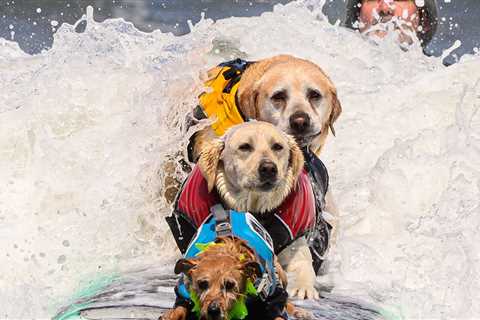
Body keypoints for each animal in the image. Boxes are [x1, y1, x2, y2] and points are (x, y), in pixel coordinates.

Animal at [161, 238, 312, 320]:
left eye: (229, 285)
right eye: (202, 284)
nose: (213, 310)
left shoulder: (272, 294)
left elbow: (278, 310)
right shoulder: (185, 294)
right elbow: (180, 308)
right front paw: (171, 314)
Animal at [197, 122, 320, 300]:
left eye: (277, 146)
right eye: (245, 147)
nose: (268, 168)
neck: (256, 209)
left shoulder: (294, 241)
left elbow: (301, 264)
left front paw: (302, 288)